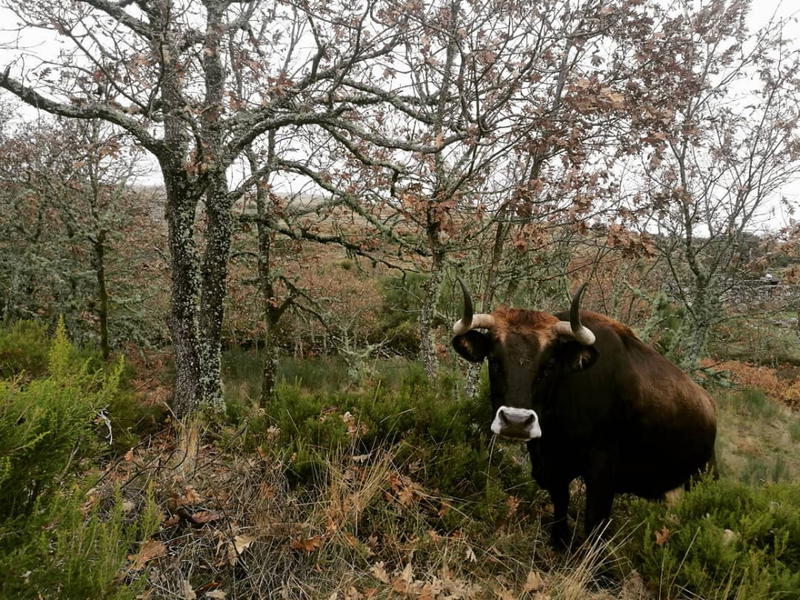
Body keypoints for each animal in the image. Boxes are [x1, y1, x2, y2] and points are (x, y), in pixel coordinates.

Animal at [451, 280, 717, 546]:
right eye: (494, 360)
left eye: (549, 365)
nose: (516, 421)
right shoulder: (553, 465)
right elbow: (560, 504)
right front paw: (559, 542)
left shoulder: (602, 471)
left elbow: (594, 522)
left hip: (702, 477)